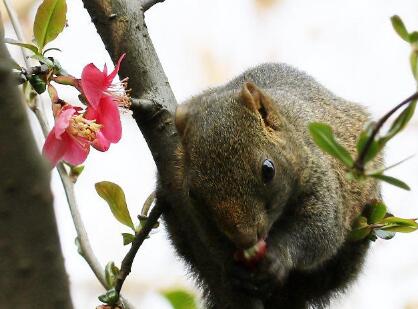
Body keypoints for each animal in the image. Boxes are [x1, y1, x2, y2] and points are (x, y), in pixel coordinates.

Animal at [158, 63, 384, 308]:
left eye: (268, 169)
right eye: (193, 194)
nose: (245, 239)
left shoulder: (322, 178)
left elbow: (321, 228)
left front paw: (278, 256)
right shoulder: (197, 218)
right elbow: (212, 243)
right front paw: (234, 268)